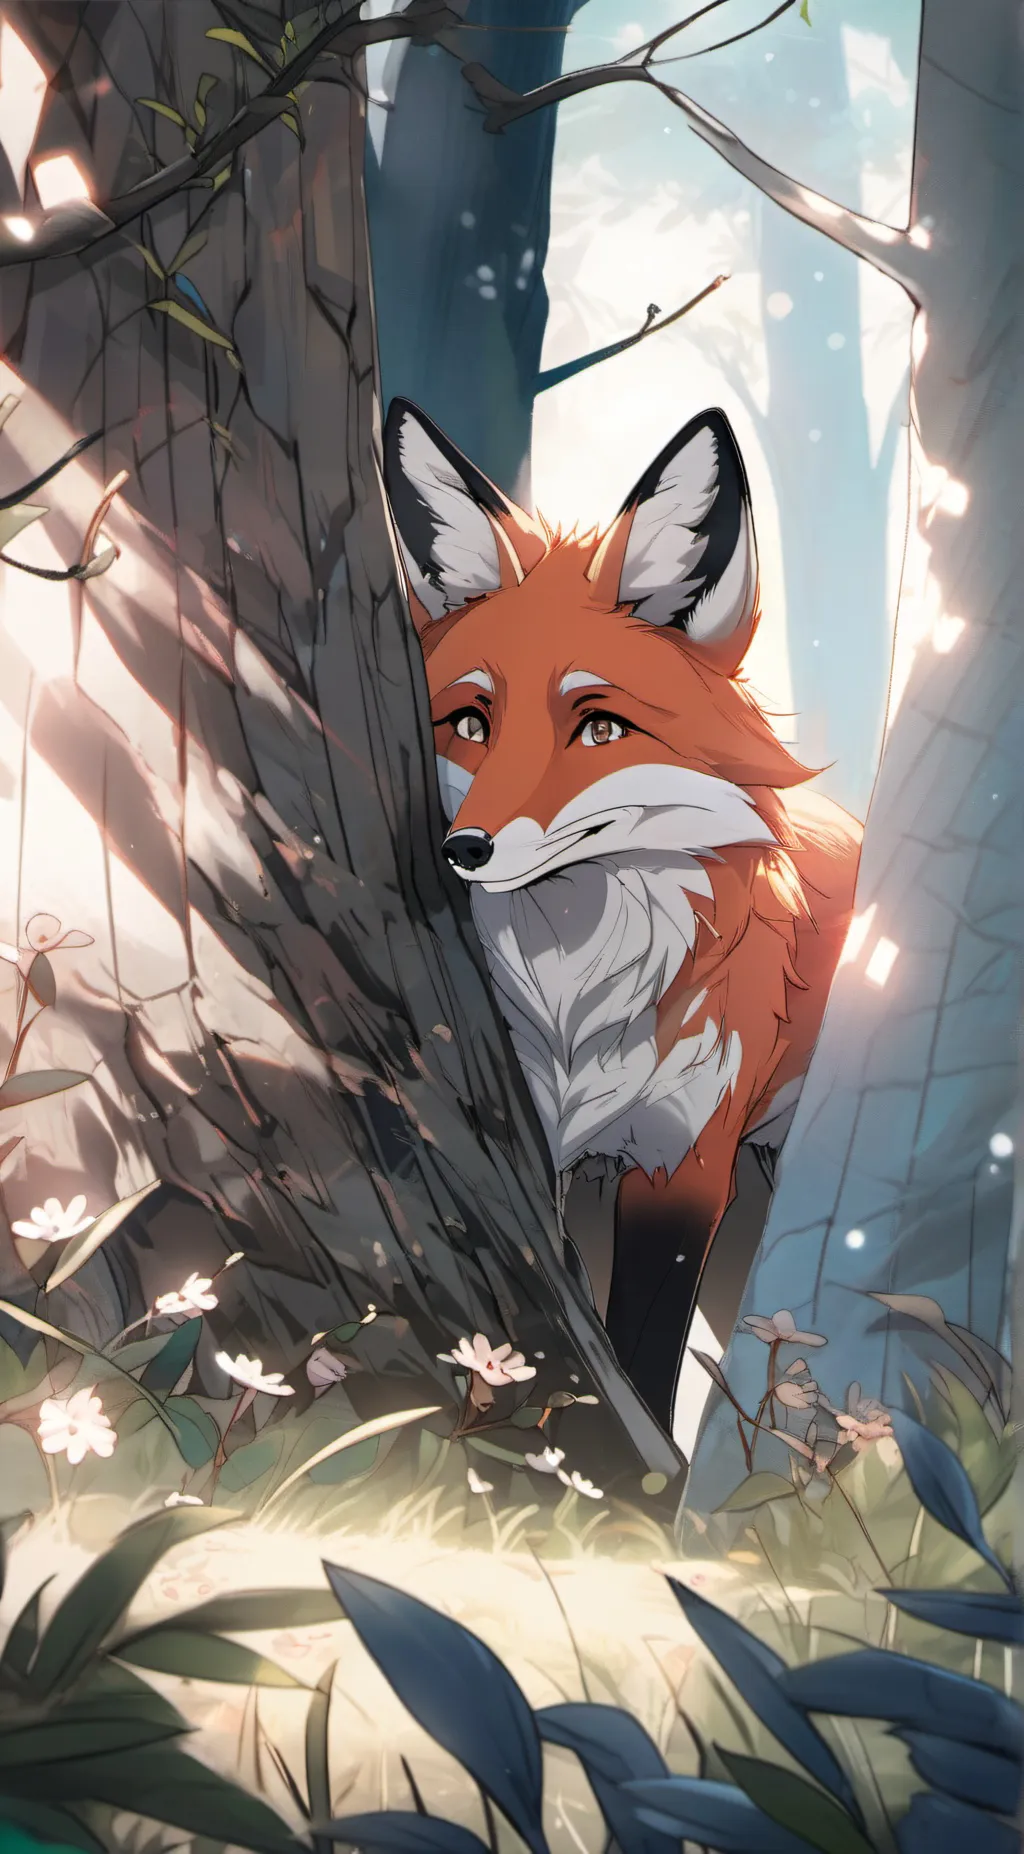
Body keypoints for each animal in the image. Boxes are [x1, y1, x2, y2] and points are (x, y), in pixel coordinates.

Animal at [382, 397, 862, 1433]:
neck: (576, 1002)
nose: (463, 850)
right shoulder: (544, 1158)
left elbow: (642, 1357)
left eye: (599, 727)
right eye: (469, 724)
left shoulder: (684, 1166)